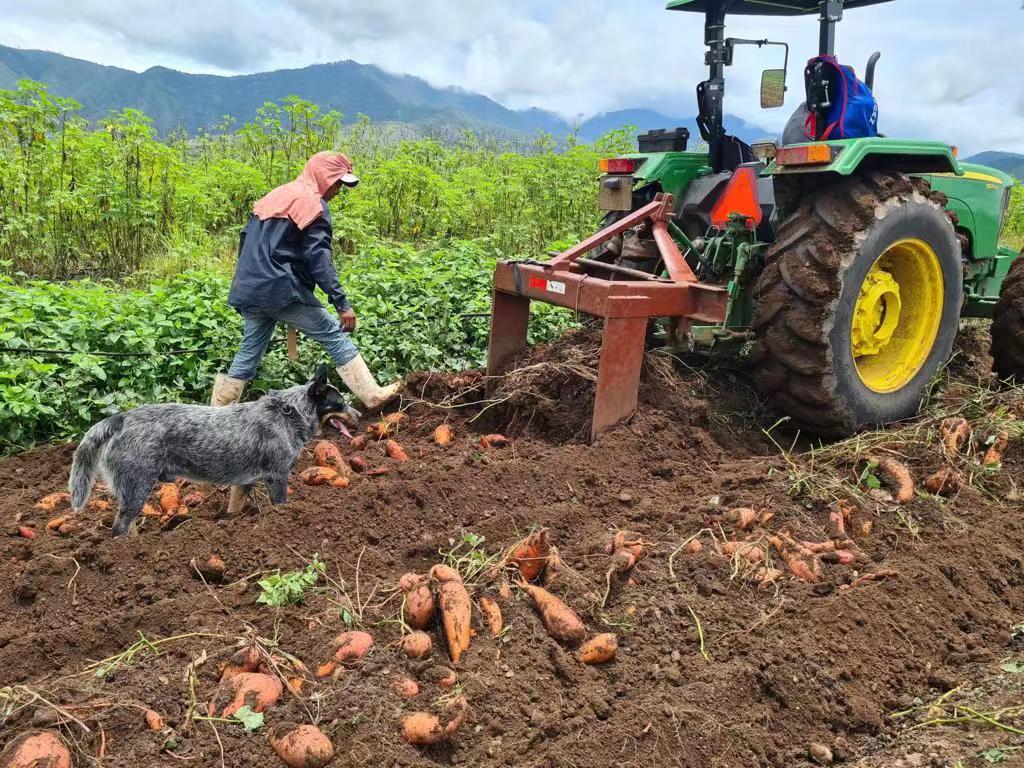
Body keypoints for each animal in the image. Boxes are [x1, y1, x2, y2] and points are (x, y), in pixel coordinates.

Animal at [67, 364, 360, 536]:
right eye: (341, 402)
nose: (359, 415)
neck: (289, 412)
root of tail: (121, 418)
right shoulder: (277, 477)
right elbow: (281, 504)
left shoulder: (244, 482)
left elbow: (233, 509)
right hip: (136, 486)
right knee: (120, 527)